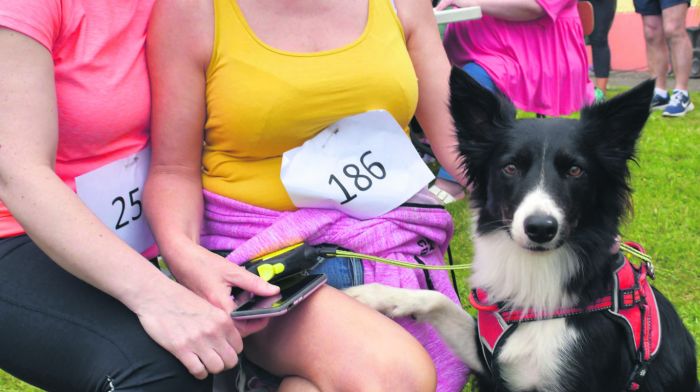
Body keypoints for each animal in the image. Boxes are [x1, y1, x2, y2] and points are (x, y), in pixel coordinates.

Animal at [348, 69, 696, 390]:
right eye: (510, 167)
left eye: (575, 170)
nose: (540, 228)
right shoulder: (491, 360)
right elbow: (438, 299)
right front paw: (378, 296)